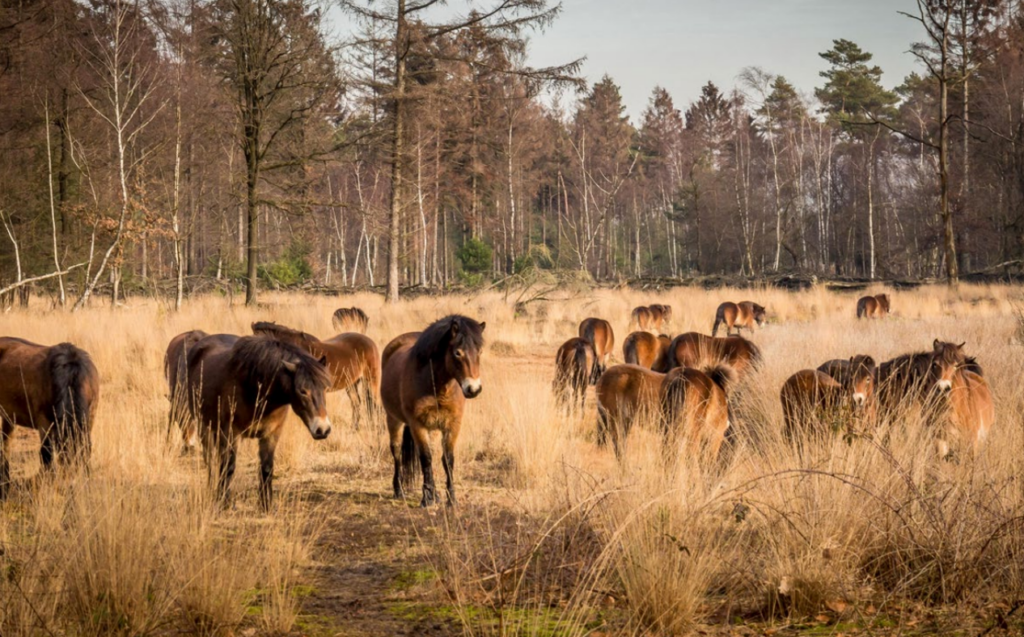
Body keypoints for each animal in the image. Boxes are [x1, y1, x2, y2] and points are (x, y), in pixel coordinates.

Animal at [0, 337, 99, 497]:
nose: (72, 492)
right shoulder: (45, 425)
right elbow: (46, 457)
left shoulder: (89, 420)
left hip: (9, 417)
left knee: (5, 445)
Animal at [185, 335, 332, 510]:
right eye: (303, 391)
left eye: (325, 388)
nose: (323, 429)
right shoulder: (231, 433)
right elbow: (229, 466)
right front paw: (224, 503)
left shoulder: (271, 434)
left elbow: (266, 468)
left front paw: (266, 505)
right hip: (204, 427)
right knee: (211, 462)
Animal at [251, 322, 380, 429]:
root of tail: (370, 342)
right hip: (351, 383)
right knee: (357, 403)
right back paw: (354, 428)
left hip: (371, 380)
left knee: (374, 404)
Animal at [381, 315, 485, 507]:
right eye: (457, 353)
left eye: (479, 352)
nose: (473, 389)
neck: (437, 387)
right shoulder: (417, 425)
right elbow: (426, 458)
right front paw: (427, 498)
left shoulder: (452, 425)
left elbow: (448, 460)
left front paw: (451, 499)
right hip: (393, 419)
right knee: (396, 451)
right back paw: (399, 490)